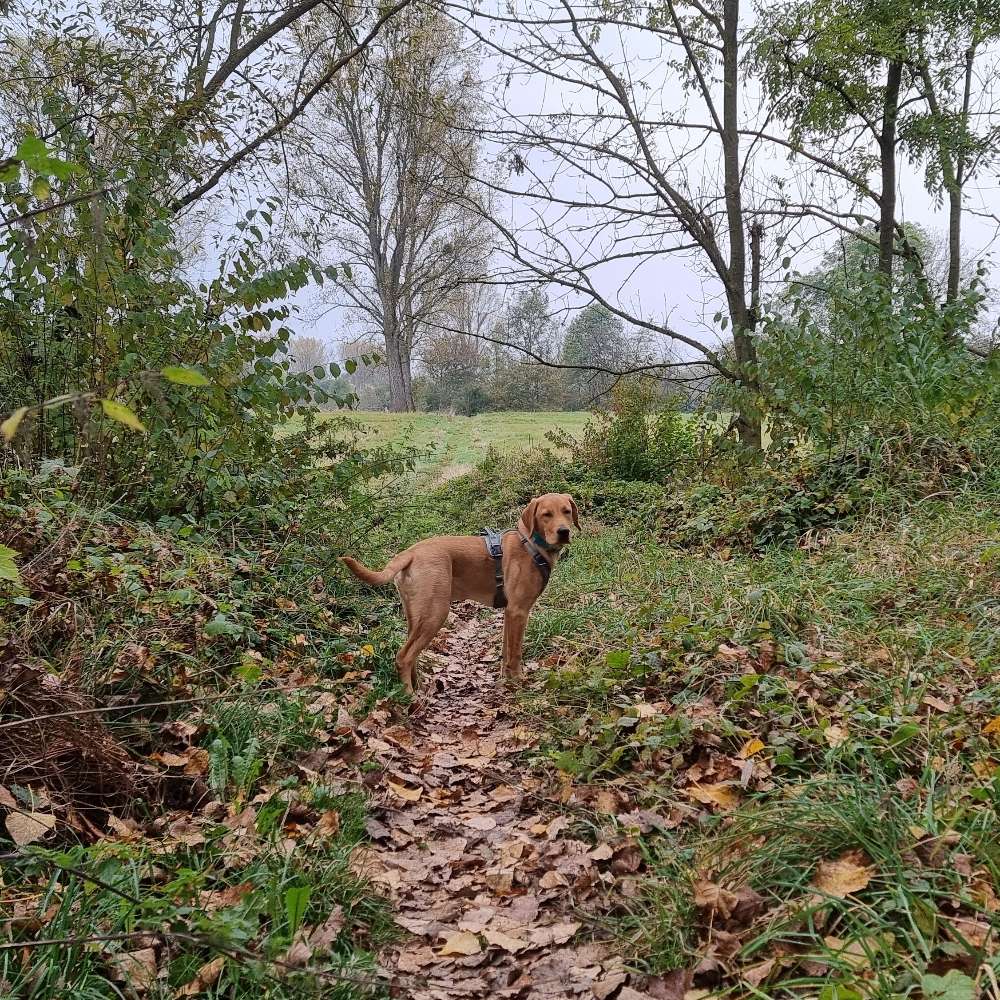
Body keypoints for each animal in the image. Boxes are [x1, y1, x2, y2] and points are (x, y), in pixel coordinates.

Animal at [342, 494, 580, 696]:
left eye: (567, 511)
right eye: (546, 514)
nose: (563, 531)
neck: (531, 544)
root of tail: (409, 552)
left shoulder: (509, 613)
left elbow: (505, 652)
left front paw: (505, 681)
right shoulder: (518, 611)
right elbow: (515, 653)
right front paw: (517, 683)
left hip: (416, 616)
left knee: (411, 655)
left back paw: (418, 687)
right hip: (435, 613)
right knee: (403, 657)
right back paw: (410, 696)